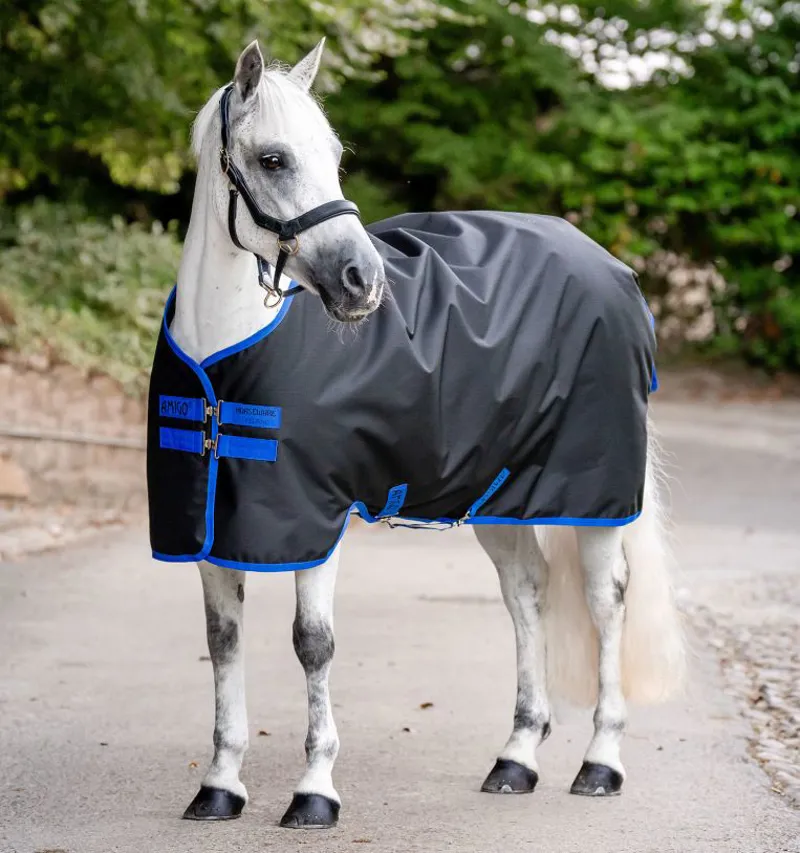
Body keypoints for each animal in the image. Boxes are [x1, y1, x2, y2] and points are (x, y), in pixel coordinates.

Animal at [148, 38, 686, 829]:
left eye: (335, 154)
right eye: (273, 158)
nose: (362, 281)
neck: (225, 358)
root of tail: (612, 267)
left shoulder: (318, 519)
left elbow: (313, 644)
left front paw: (315, 790)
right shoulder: (213, 528)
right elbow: (224, 644)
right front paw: (220, 784)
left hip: (594, 496)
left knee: (605, 600)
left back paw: (600, 762)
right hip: (500, 496)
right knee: (526, 593)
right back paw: (516, 758)